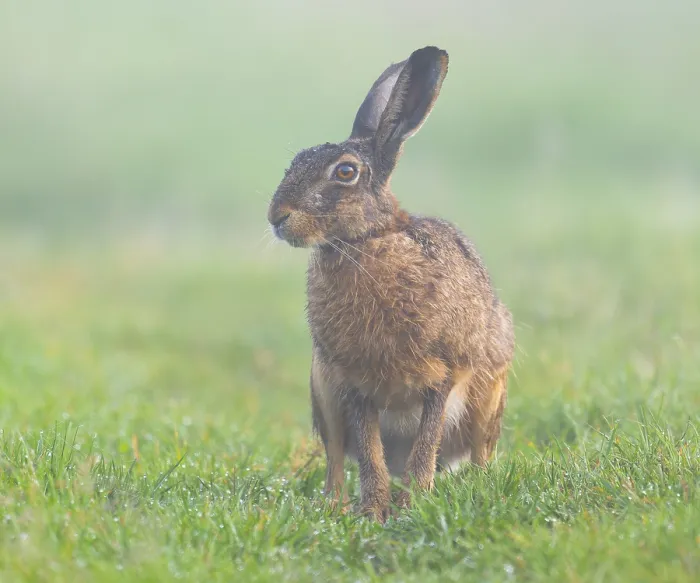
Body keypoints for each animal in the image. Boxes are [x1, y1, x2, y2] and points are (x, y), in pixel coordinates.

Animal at [267, 46, 514, 522]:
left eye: (345, 172)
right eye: (295, 161)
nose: (277, 216)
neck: (368, 240)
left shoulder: (444, 374)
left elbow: (425, 443)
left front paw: (411, 502)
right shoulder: (353, 383)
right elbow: (368, 452)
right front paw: (375, 510)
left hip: (487, 395)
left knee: (479, 455)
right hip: (323, 390)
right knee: (336, 458)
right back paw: (336, 507)